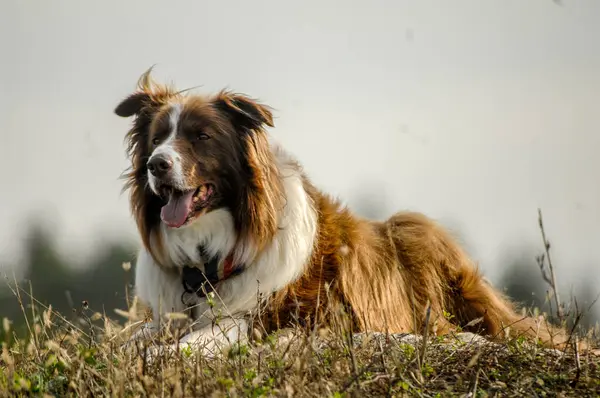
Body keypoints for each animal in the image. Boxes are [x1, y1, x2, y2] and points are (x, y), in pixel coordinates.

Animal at [113, 70, 584, 360]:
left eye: (202, 136)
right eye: (157, 138)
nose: (156, 164)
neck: (211, 254)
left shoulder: (275, 316)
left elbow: (210, 334)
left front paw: (168, 352)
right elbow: (132, 337)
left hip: (418, 229)